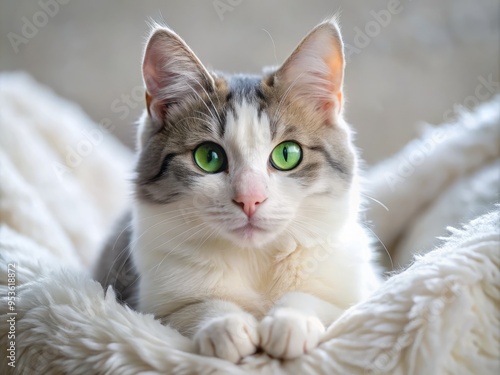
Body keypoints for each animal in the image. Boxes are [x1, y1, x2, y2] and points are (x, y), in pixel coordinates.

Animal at [94, 17, 378, 364]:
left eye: (288, 154)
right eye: (209, 157)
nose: (249, 199)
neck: (255, 259)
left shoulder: (360, 289)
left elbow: (316, 300)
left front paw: (290, 320)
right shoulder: (149, 301)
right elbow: (193, 308)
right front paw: (225, 325)